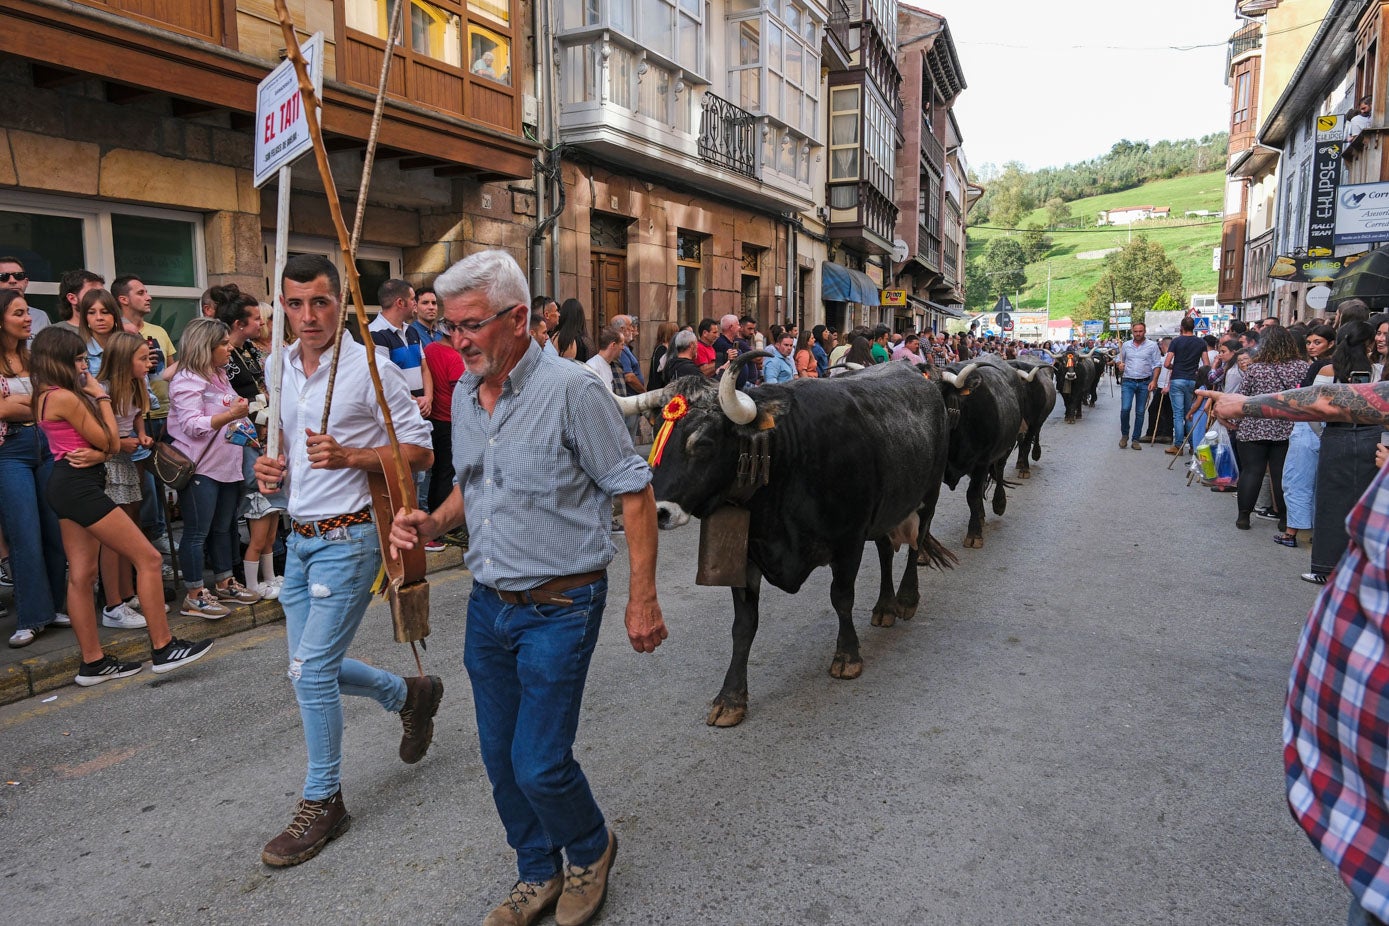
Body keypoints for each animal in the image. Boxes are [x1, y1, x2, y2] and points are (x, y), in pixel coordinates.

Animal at [616, 358, 955, 727]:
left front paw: (847, 656)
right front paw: (731, 698)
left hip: (928, 495)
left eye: (703, 443)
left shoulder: (848, 542)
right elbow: (743, 625)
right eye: (656, 439)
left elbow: (842, 599)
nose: (658, 513)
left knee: (914, 546)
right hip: (886, 510)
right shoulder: (747, 556)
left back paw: (906, 599)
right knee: (884, 551)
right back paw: (884, 607)